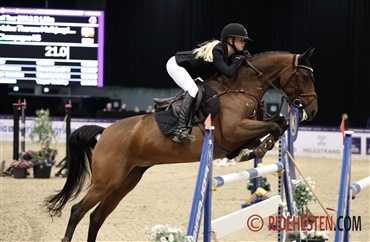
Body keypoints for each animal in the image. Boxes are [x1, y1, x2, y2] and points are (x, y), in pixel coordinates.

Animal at [44, 46, 318, 241]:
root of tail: (106, 132)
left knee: (97, 216)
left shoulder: (246, 128)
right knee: (78, 211)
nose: (313, 111)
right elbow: (275, 126)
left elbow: (280, 122)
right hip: (106, 180)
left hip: (127, 180)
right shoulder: (233, 131)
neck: (241, 88)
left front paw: (254, 149)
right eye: (305, 75)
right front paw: (257, 149)